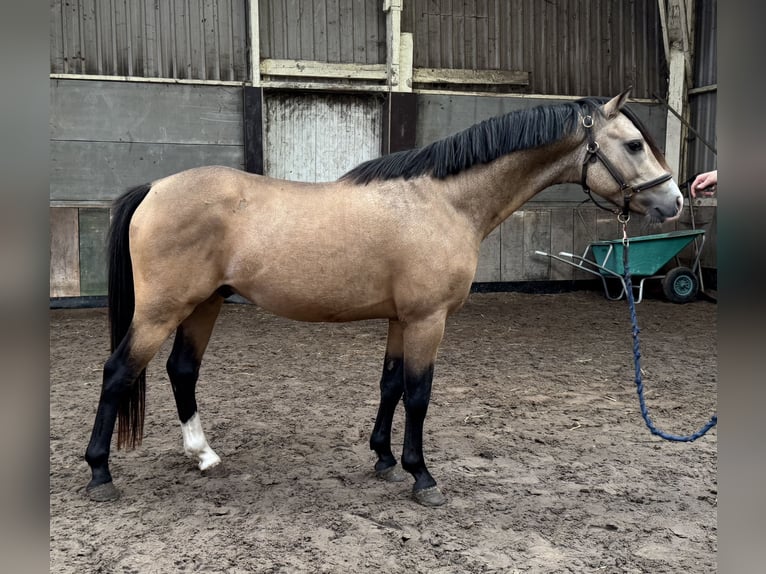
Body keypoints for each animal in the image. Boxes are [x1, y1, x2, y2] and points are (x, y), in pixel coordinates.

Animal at [83, 88, 682, 506]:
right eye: (633, 144)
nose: (674, 201)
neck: (445, 202)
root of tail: (155, 188)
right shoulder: (427, 320)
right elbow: (418, 395)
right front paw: (423, 476)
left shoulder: (402, 319)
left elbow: (391, 385)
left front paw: (385, 459)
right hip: (161, 310)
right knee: (119, 373)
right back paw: (99, 474)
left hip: (203, 305)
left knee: (181, 371)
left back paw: (203, 455)